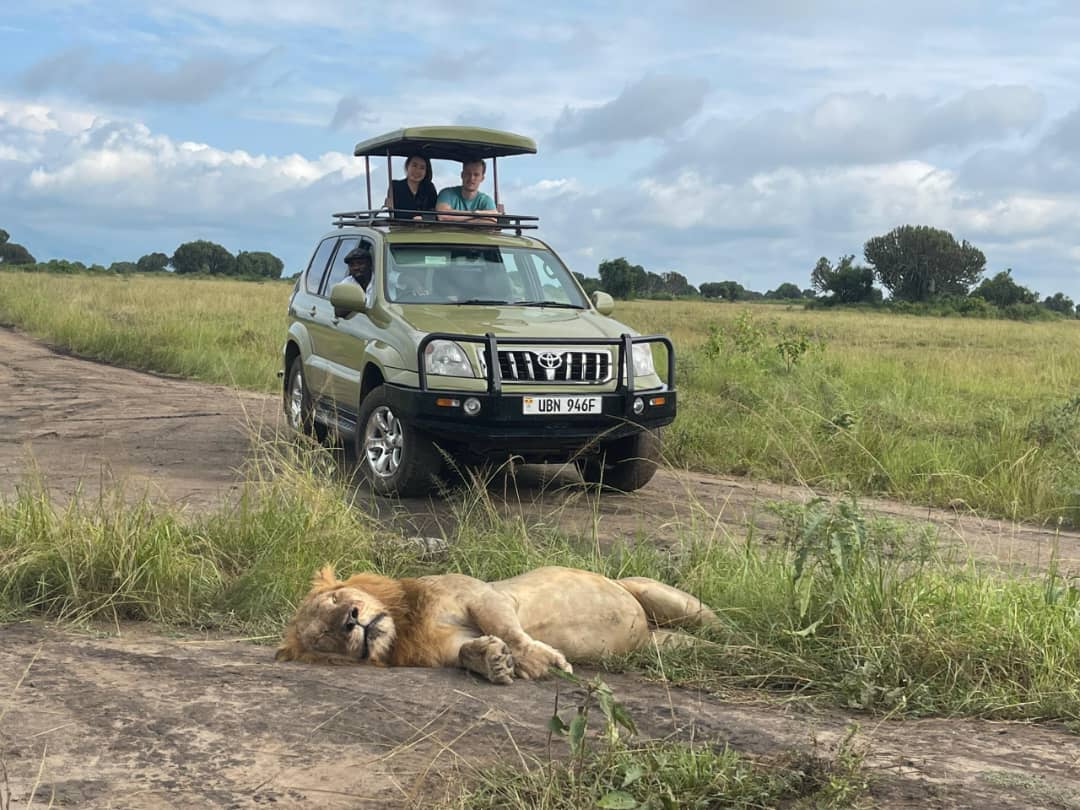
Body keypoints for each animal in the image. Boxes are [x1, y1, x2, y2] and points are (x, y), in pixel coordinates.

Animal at [276, 565, 717, 686]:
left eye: (335, 600)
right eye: (323, 635)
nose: (350, 619)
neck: (405, 625)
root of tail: (646, 629)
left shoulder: (481, 595)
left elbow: (507, 629)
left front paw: (541, 661)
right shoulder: (445, 647)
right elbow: (466, 652)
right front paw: (493, 661)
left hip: (658, 595)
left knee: (717, 624)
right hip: (661, 644)